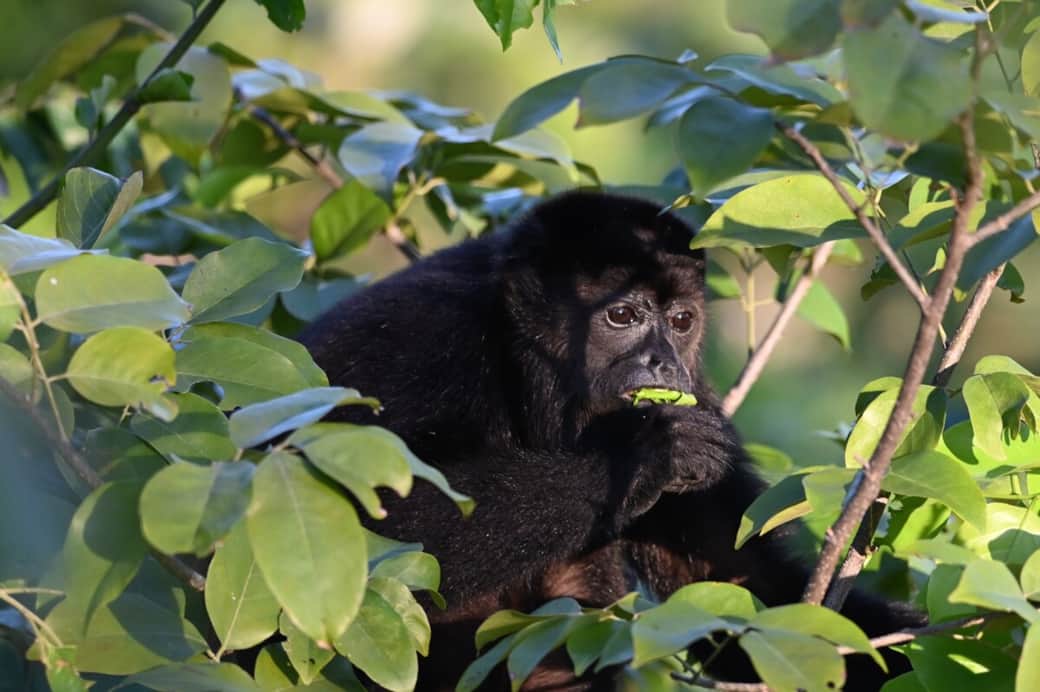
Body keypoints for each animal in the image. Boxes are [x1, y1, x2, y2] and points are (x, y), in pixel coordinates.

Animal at [298, 190, 922, 690]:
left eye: (681, 321)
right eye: (622, 315)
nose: (663, 361)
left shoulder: (700, 394)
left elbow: (742, 583)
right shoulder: (416, 344)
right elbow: (379, 527)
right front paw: (646, 450)